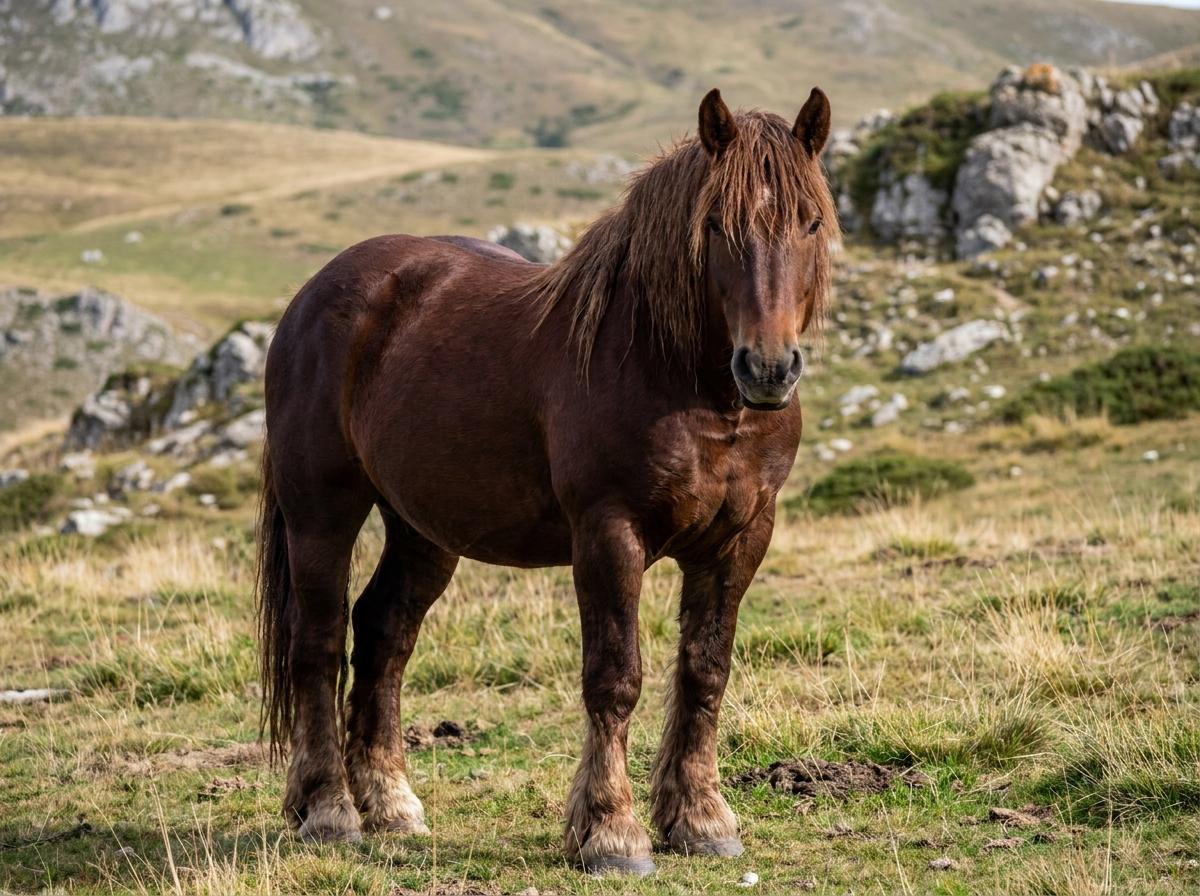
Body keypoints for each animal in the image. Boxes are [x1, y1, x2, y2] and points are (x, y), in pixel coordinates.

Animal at [256, 86, 838, 876]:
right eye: (718, 224)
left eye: (810, 219)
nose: (769, 368)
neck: (688, 383)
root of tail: (317, 293)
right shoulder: (608, 534)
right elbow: (616, 678)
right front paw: (613, 833)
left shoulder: (740, 538)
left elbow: (705, 671)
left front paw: (701, 820)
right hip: (322, 512)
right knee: (317, 644)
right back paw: (328, 810)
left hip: (423, 529)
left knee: (383, 637)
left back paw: (393, 806)